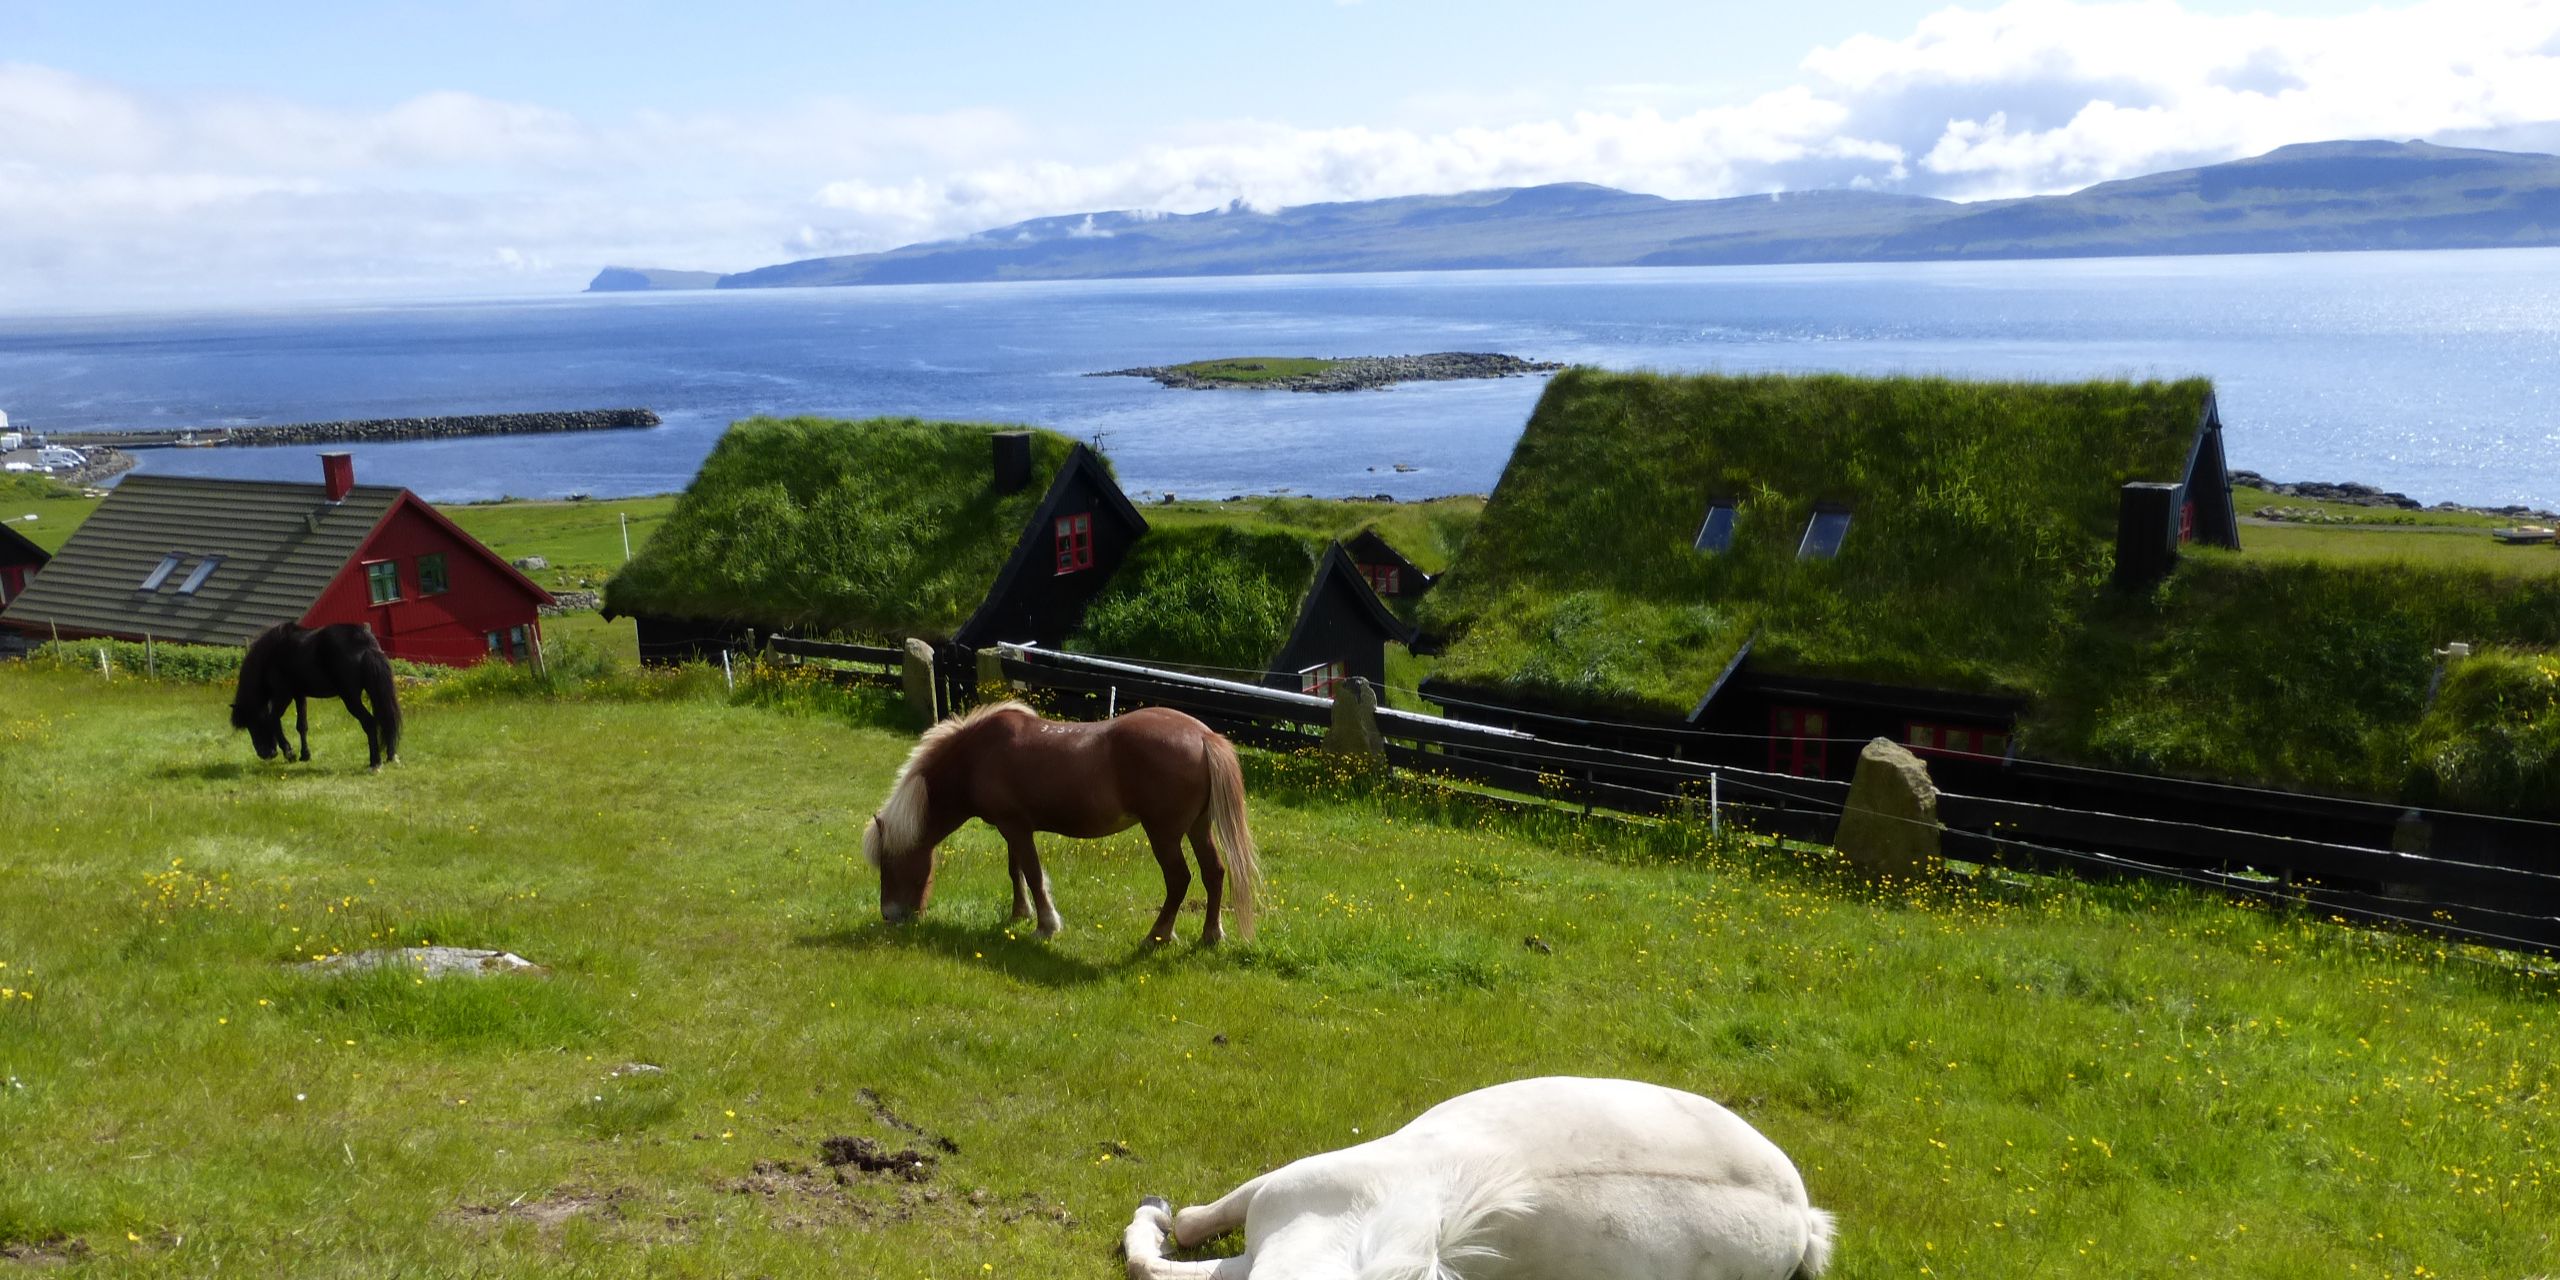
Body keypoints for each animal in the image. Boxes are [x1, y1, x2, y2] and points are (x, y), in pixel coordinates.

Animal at [231, 622, 404, 768]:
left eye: (253, 723)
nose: (265, 754)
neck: (272, 654)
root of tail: (365, 641)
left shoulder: (283, 694)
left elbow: (273, 718)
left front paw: (289, 753)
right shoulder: (299, 694)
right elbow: (302, 726)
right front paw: (305, 755)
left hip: (351, 698)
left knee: (369, 722)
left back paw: (375, 763)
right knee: (386, 717)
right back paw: (391, 756)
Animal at [860, 706, 1259, 947]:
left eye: (890, 864)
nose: (889, 916)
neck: (977, 756)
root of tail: (1203, 736)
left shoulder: (1015, 827)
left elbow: (1034, 874)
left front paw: (1045, 925)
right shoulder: (1012, 827)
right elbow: (1016, 871)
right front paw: (1019, 914)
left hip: (1164, 833)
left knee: (1179, 880)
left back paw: (1157, 936)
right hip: (1198, 827)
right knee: (1214, 872)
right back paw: (1211, 935)